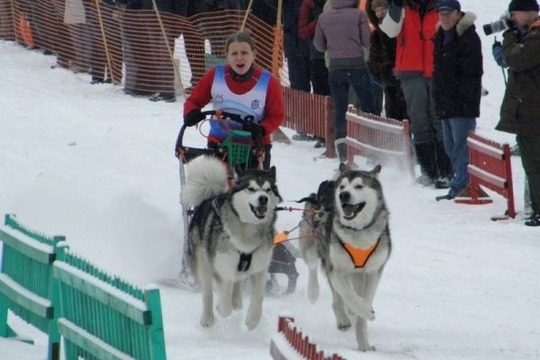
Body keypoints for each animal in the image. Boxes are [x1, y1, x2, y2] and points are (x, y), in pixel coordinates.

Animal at [182, 156, 282, 330]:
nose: (263, 198)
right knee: (208, 293)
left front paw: (252, 321)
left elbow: (258, 299)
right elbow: (224, 304)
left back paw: (236, 300)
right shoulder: (221, 269)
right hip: (203, 264)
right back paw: (208, 317)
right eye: (251, 189)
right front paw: (220, 308)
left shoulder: (260, 269)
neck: (248, 231)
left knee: (238, 280)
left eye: (268, 189)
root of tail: (208, 198)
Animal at [298, 165, 390, 350]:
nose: (343, 195)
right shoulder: (337, 268)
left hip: (356, 273)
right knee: (314, 267)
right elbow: (348, 294)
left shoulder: (373, 272)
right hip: (312, 245)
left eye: (359, 186)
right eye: (343, 187)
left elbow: (362, 302)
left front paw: (364, 344)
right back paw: (317, 294)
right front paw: (364, 310)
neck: (358, 232)